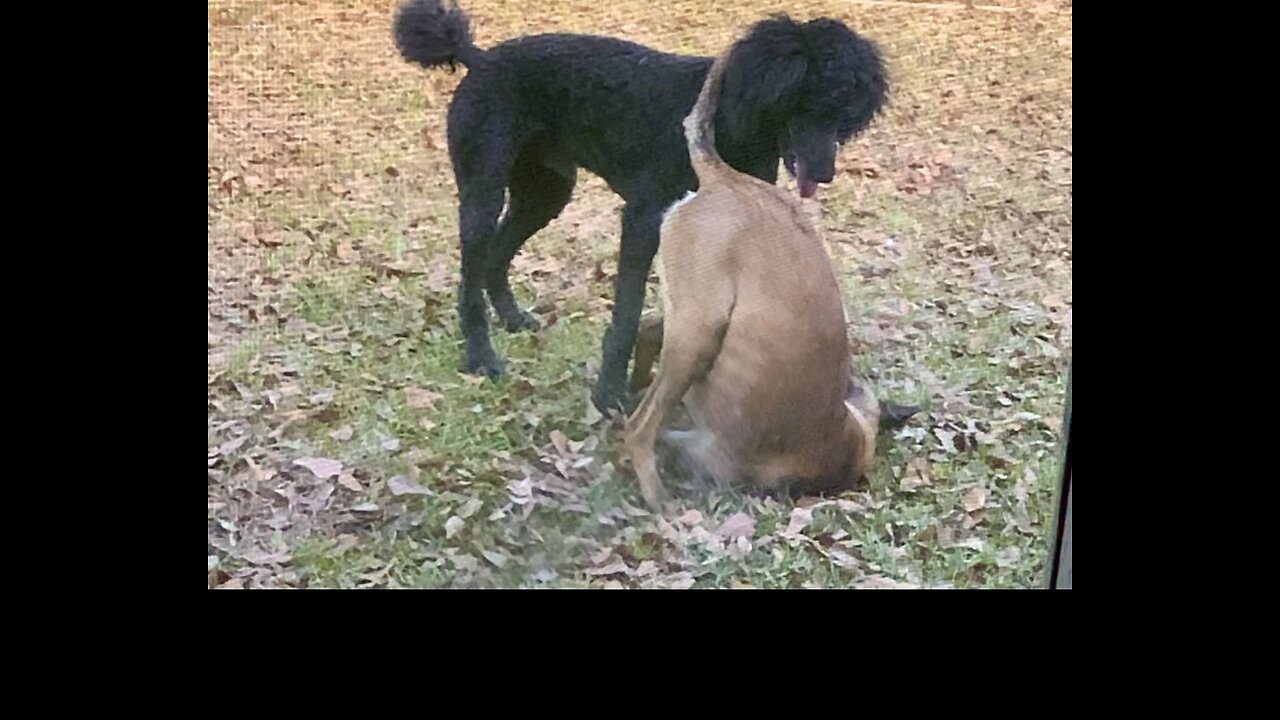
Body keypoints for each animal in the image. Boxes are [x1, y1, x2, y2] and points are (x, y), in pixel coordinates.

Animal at [624, 43, 916, 509]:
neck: (848, 433)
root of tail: (727, 179)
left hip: (693, 316)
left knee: (649, 334)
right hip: (699, 335)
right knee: (638, 429)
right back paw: (656, 498)